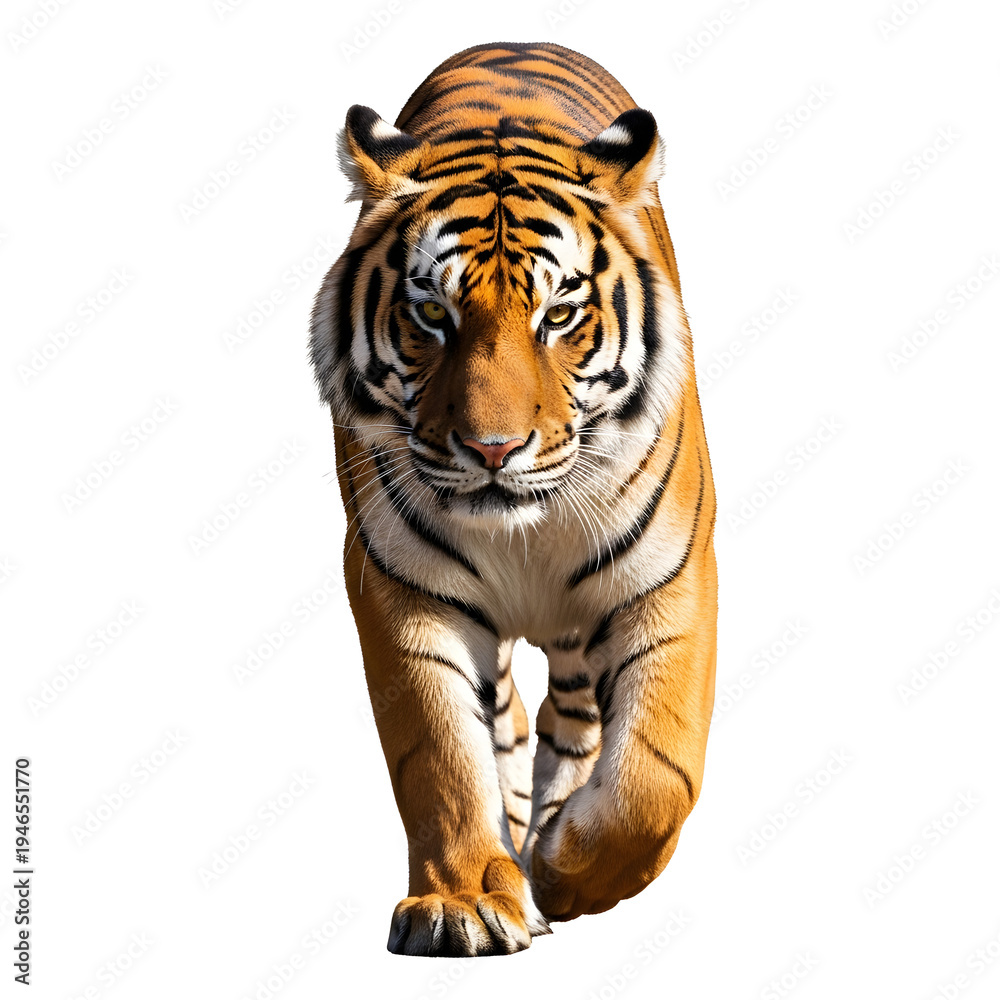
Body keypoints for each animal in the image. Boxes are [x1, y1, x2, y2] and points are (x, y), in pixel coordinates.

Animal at [309, 41, 717, 957]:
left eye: (559, 314)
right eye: (432, 312)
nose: (492, 450)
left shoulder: (669, 583)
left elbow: (654, 776)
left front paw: (565, 873)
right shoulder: (400, 590)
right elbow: (441, 758)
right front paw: (463, 901)